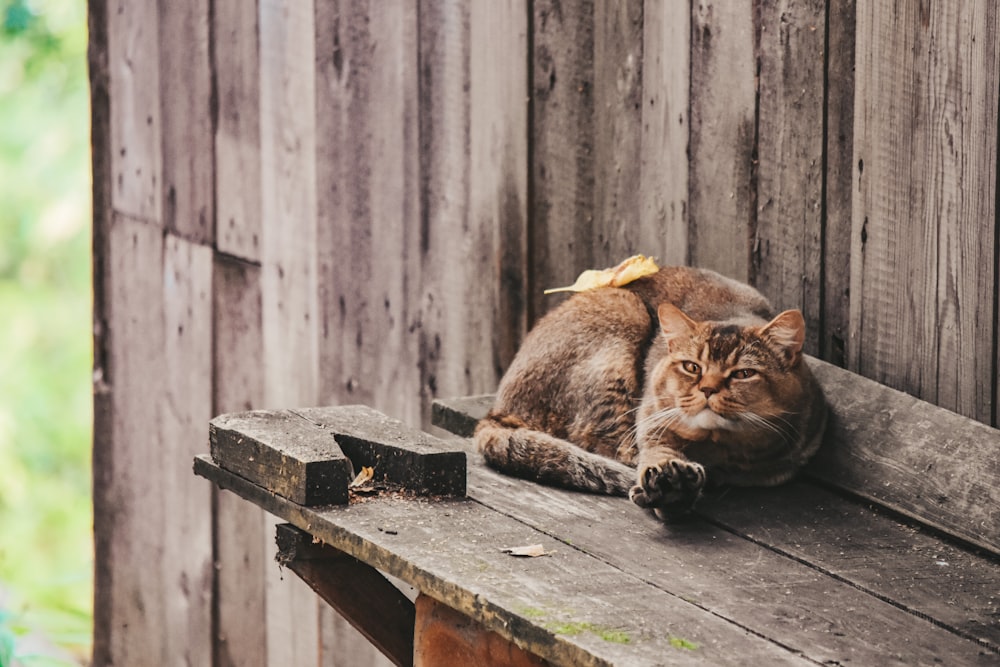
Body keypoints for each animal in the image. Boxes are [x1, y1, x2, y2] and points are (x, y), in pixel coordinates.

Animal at [476, 264, 828, 520]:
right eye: (692, 367)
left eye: (743, 374)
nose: (707, 389)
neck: (723, 449)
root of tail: (498, 409)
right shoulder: (651, 419)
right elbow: (654, 451)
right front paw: (670, 485)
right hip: (621, 310)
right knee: (609, 445)